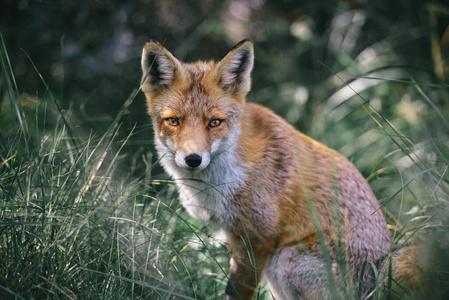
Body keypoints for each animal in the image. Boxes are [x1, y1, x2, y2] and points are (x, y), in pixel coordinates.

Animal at [139, 39, 416, 298]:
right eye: (173, 121)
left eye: (215, 122)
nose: (193, 159)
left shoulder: (256, 239)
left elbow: (234, 293)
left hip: (286, 258)